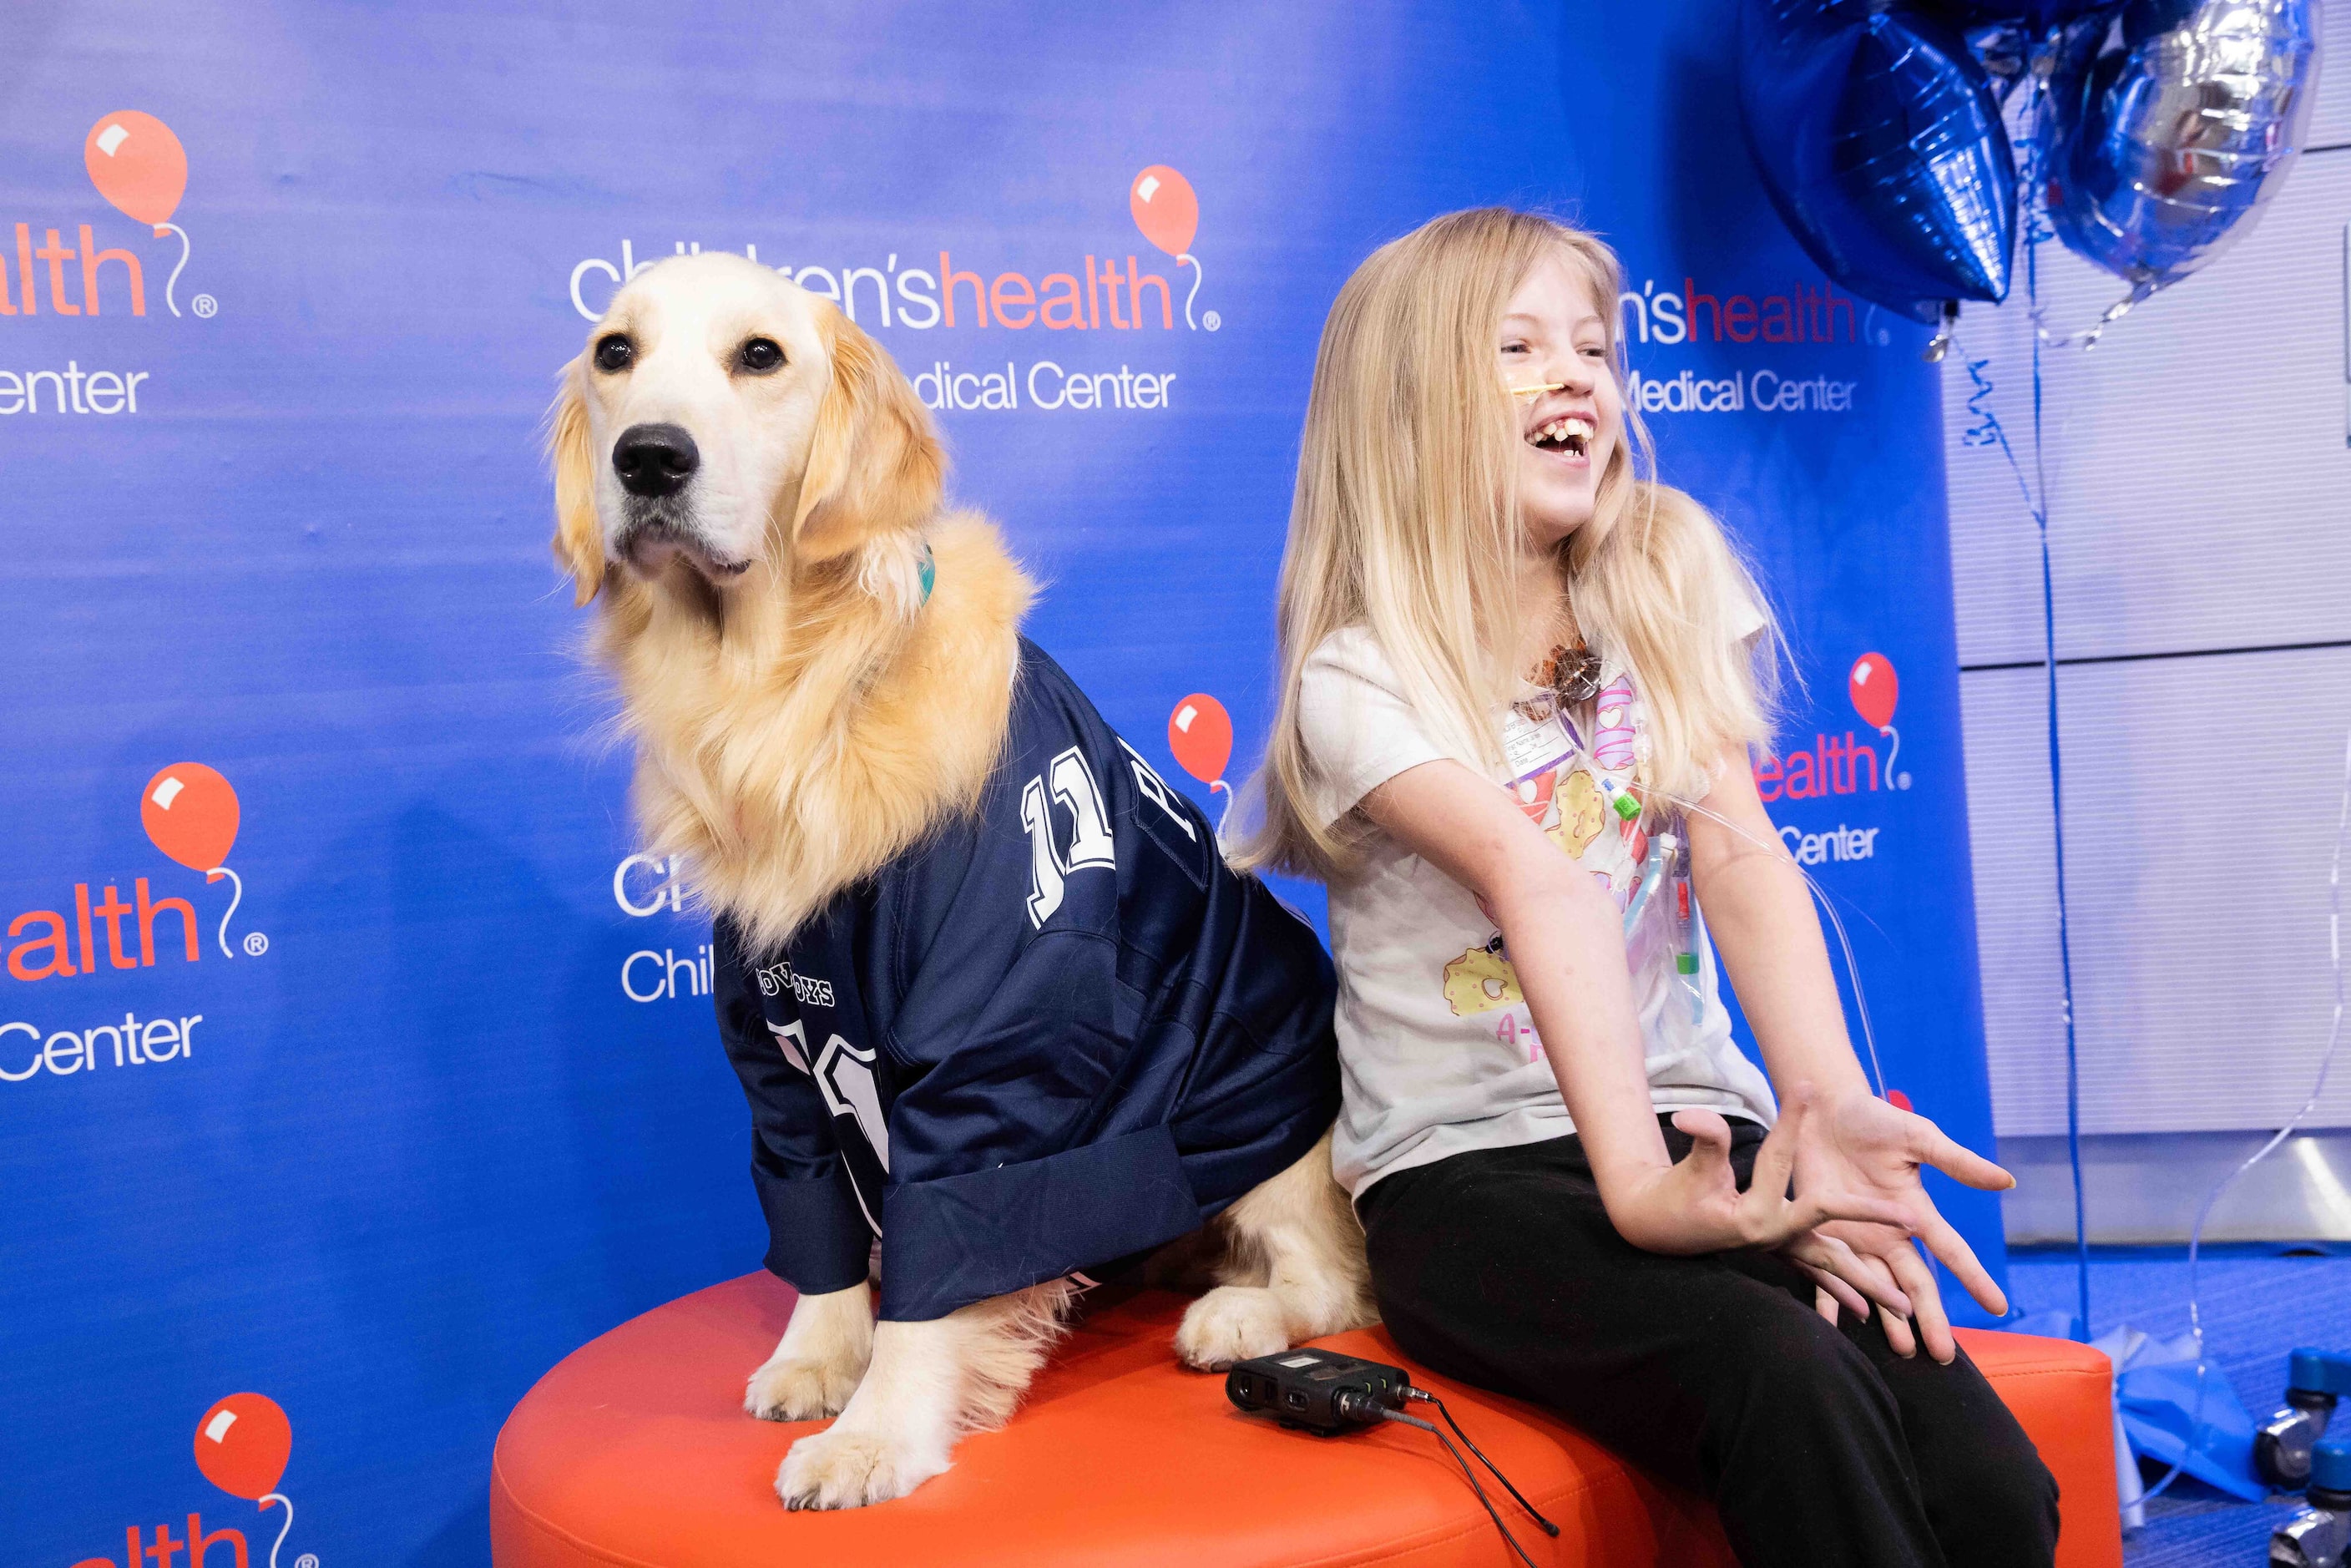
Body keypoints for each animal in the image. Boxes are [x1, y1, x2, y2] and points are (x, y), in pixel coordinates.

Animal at [545, 251, 1373, 1514]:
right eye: (614, 353)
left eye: (760, 356)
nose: (648, 457)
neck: (798, 692)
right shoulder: (778, 1046)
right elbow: (816, 1209)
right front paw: (818, 1354)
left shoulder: (1005, 1037)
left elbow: (952, 1246)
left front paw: (878, 1430)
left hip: (1267, 1124)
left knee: (1327, 1277)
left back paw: (1235, 1318)